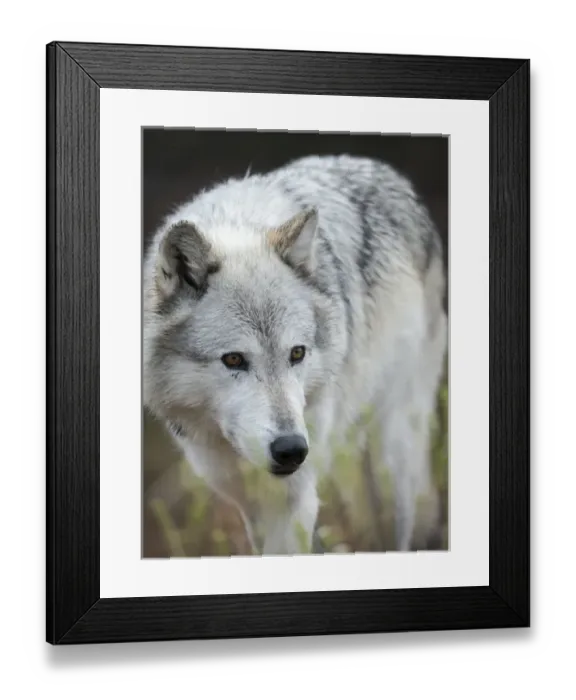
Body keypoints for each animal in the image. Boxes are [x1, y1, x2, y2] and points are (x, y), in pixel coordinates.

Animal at [142, 153, 447, 556]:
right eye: (234, 359)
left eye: (297, 353)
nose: (291, 450)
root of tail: (383, 170)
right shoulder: (246, 500)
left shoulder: (293, 499)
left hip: (391, 457)